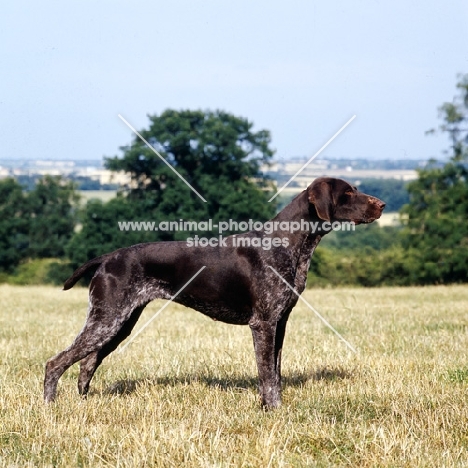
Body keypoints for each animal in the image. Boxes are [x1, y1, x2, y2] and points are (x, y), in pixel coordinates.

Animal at [44, 177, 384, 408]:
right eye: (348, 193)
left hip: (119, 324)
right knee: (56, 362)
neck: (290, 244)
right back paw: (50, 405)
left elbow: (276, 371)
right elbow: (266, 374)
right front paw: (271, 409)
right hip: (107, 320)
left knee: (86, 363)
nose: (381, 205)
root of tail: (108, 257)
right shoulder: (263, 324)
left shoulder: (280, 323)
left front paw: (275, 406)